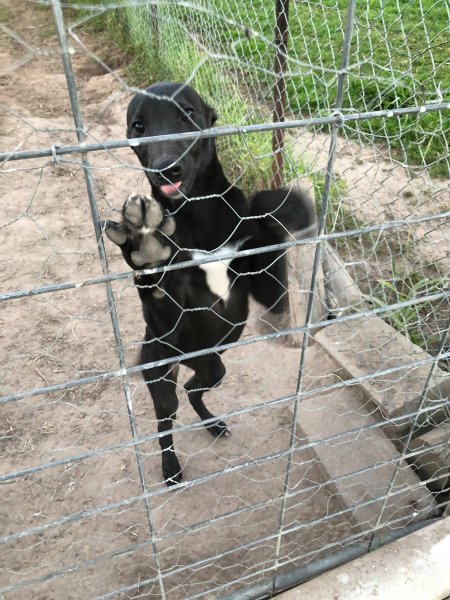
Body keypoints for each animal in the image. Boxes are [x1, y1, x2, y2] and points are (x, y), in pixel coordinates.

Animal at [105, 82, 312, 486]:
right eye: (138, 126)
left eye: (187, 113)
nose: (166, 168)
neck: (197, 209)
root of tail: (190, 362)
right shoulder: (172, 316)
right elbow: (158, 286)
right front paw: (147, 247)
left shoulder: (269, 292)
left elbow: (263, 217)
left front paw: (285, 206)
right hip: (161, 375)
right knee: (166, 422)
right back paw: (171, 468)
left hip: (214, 368)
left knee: (193, 391)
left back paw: (214, 425)